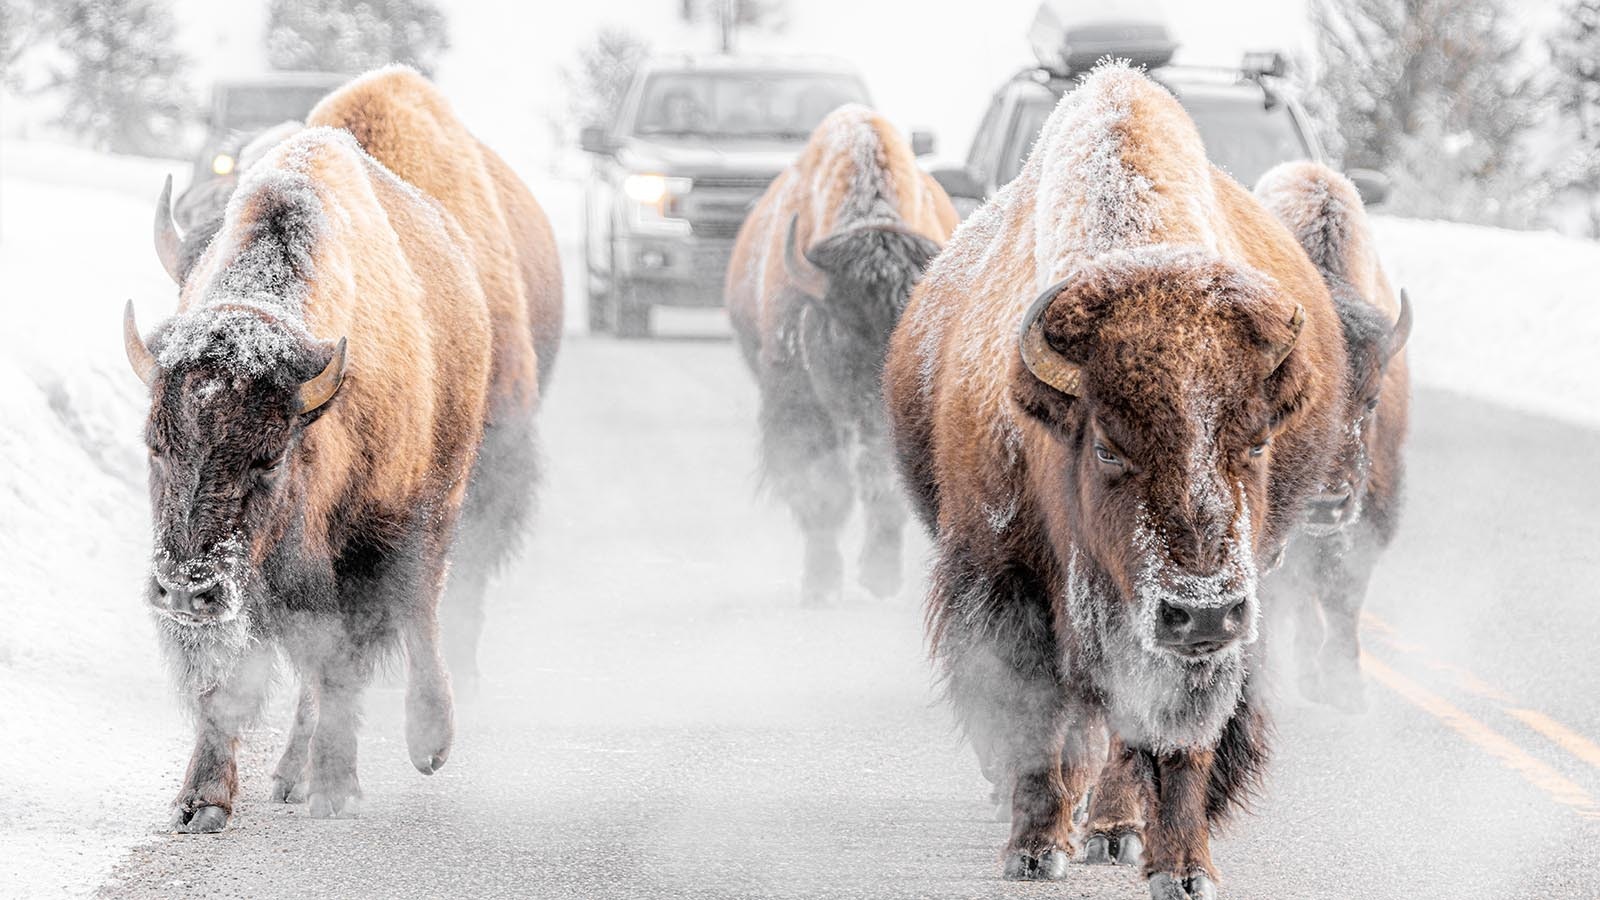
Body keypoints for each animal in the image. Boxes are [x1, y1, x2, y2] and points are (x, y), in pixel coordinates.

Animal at [124, 126, 489, 826]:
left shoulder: (357, 560)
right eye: (154, 446)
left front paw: (336, 790)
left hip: (439, 502)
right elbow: (229, 685)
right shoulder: (244, 597)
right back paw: (291, 775)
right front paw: (201, 802)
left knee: (420, 611)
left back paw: (427, 742)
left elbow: (341, 665)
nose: (185, 590)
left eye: (269, 457)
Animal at [729, 104, 960, 602]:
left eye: (912, 337)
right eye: (843, 331)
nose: (879, 409)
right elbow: (823, 487)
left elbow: (882, 487)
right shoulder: (801, 406)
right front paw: (821, 583)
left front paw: (879, 575)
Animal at [889, 61, 1350, 890]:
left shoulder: (1207, 631)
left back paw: (1114, 829)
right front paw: (1034, 849)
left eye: (1258, 439)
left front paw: (1185, 869)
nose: (1201, 612)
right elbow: (1036, 722)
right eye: (1107, 446)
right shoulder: (1005, 584)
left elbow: (1174, 740)